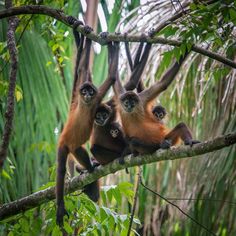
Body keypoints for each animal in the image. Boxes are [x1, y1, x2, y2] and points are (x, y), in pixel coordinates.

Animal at [55, 17, 118, 226]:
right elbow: (107, 76)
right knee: (63, 167)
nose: (88, 94)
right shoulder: (90, 99)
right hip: (64, 146)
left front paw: (87, 36)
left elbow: (84, 69)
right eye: (85, 91)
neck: (84, 105)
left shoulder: (94, 99)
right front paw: (112, 45)